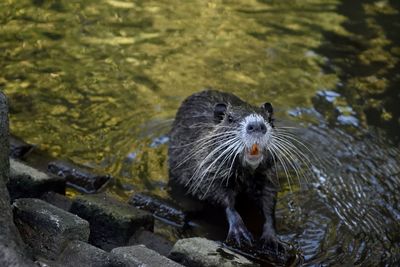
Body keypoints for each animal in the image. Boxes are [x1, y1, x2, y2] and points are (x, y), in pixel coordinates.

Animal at [169, 90, 290, 253]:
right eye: (230, 118)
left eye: (269, 119)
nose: (257, 125)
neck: (246, 172)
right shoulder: (207, 168)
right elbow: (220, 195)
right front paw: (240, 234)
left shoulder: (267, 175)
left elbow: (268, 201)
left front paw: (273, 240)